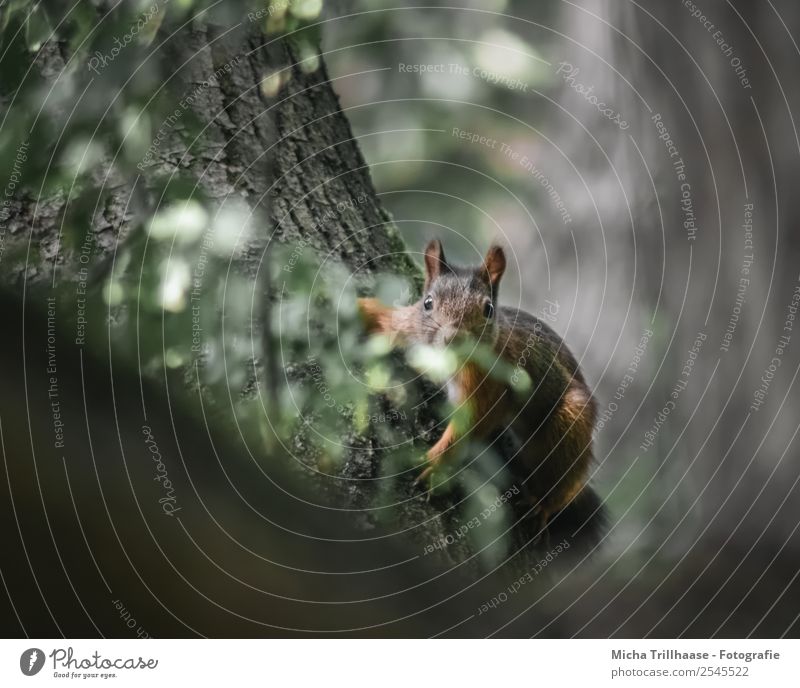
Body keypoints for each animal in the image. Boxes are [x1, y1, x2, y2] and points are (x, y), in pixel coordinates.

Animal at [358, 239, 608, 544]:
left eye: (488, 309)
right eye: (428, 303)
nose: (452, 338)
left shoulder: (490, 388)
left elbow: (469, 426)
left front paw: (437, 465)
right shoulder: (411, 327)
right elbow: (389, 320)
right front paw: (352, 308)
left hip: (571, 424)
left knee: (561, 480)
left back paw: (542, 505)